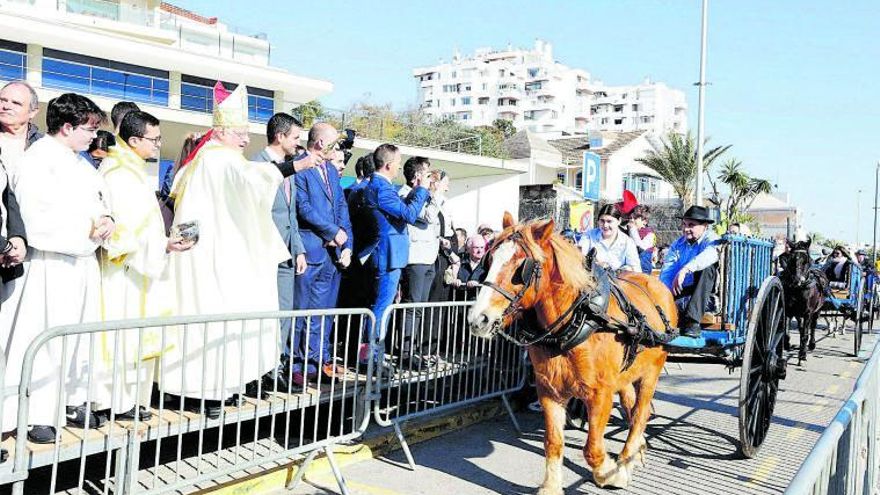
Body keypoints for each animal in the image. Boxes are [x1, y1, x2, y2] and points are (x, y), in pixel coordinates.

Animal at [464, 214, 676, 495]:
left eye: (523, 267)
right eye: (489, 260)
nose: (479, 319)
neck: (578, 318)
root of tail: (657, 284)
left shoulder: (600, 394)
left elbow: (592, 449)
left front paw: (610, 473)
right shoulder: (549, 391)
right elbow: (553, 442)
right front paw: (551, 486)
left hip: (652, 371)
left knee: (641, 413)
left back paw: (627, 456)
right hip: (627, 375)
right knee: (631, 407)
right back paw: (635, 452)